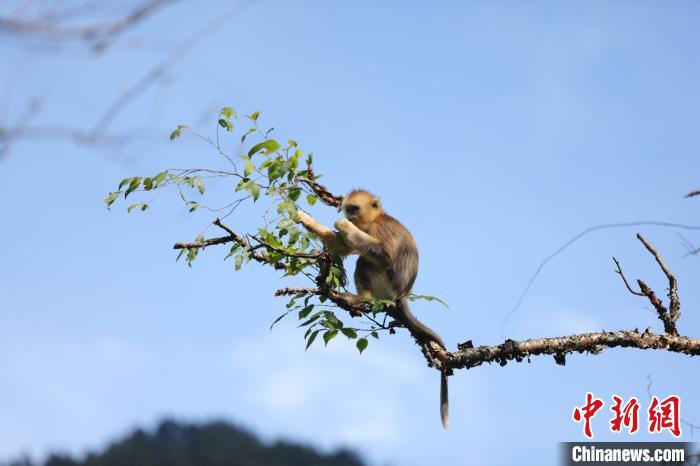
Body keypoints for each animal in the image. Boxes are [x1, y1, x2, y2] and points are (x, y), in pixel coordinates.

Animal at [296, 188, 448, 426]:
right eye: (348, 208)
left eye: (354, 208)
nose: (349, 218)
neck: (374, 219)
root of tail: (402, 294)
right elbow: (342, 248)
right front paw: (303, 218)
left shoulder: (377, 229)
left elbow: (383, 255)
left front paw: (344, 226)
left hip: (385, 283)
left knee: (365, 260)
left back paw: (360, 298)